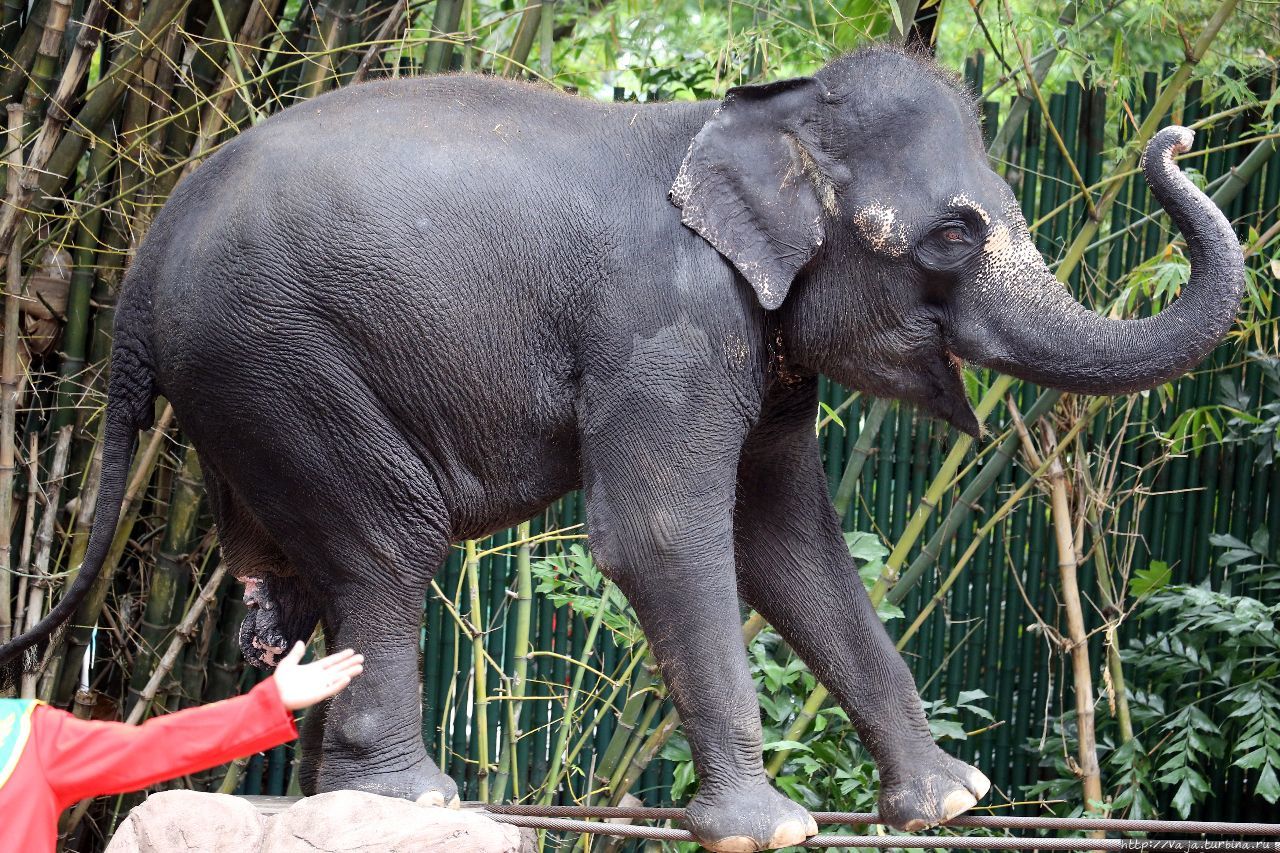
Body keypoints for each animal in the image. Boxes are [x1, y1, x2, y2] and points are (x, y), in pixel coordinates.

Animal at [0, 43, 1239, 845]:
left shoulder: (753, 345)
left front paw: (950, 801)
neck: (749, 121)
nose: (1175, 135)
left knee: (298, 578)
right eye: (947, 236)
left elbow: (788, 546)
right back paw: (414, 800)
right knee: (387, 546)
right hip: (280, 356)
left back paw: (331, 795)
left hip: (246, 385)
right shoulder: (666, 329)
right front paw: (769, 828)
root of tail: (142, 259)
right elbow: (661, 539)